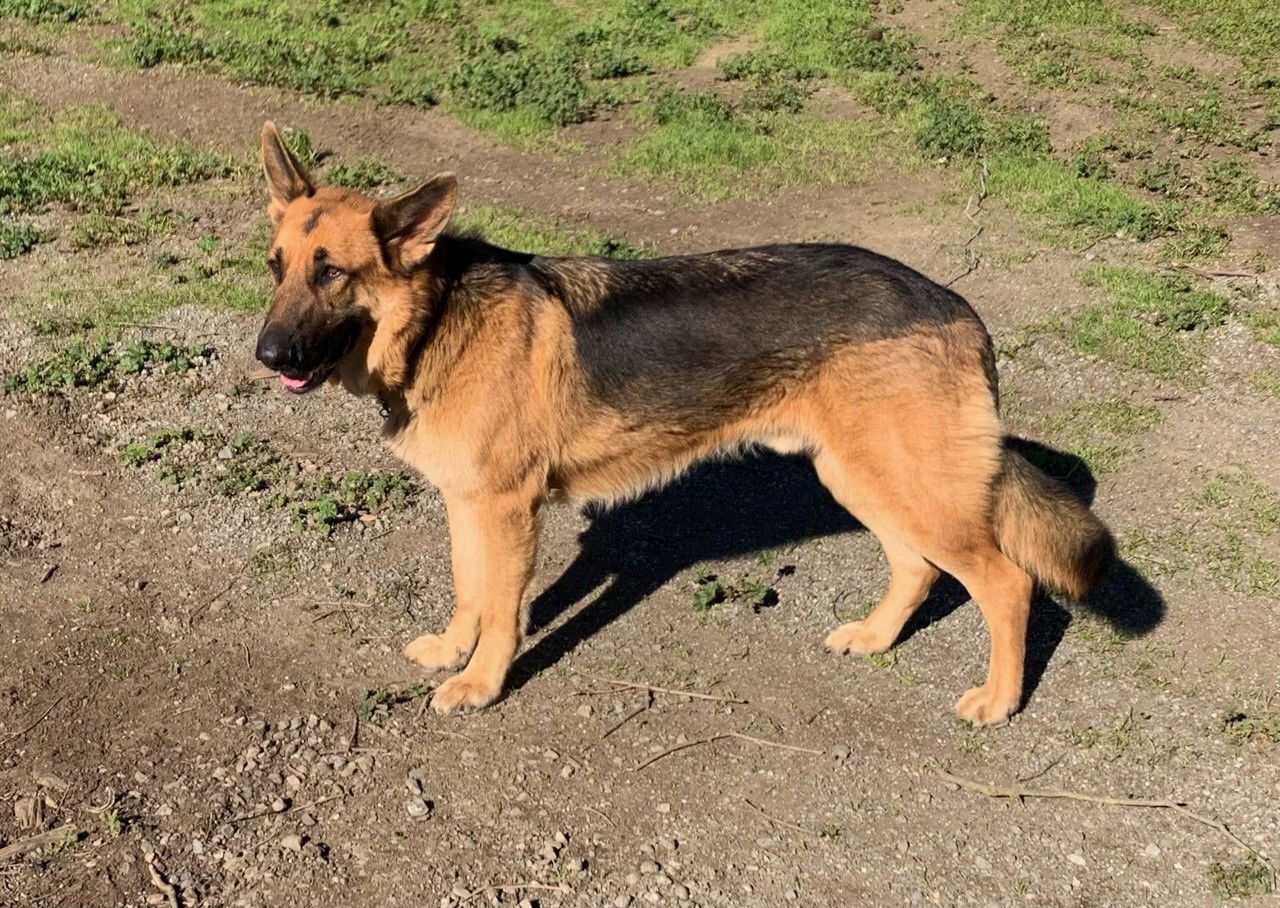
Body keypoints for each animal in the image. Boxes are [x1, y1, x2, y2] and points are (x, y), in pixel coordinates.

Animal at [257, 124, 1111, 727]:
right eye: (277, 266)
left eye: (333, 272)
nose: (265, 355)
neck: (434, 320)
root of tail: (955, 305)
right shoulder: (469, 505)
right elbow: (471, 589)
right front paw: (453, 651)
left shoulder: (505, 510)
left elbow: (500, 608)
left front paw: (484, 682)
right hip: (860, 478)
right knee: (918, 569)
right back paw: (874, 638)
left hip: (908, 488)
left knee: (1006, 583)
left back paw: (998, 700)